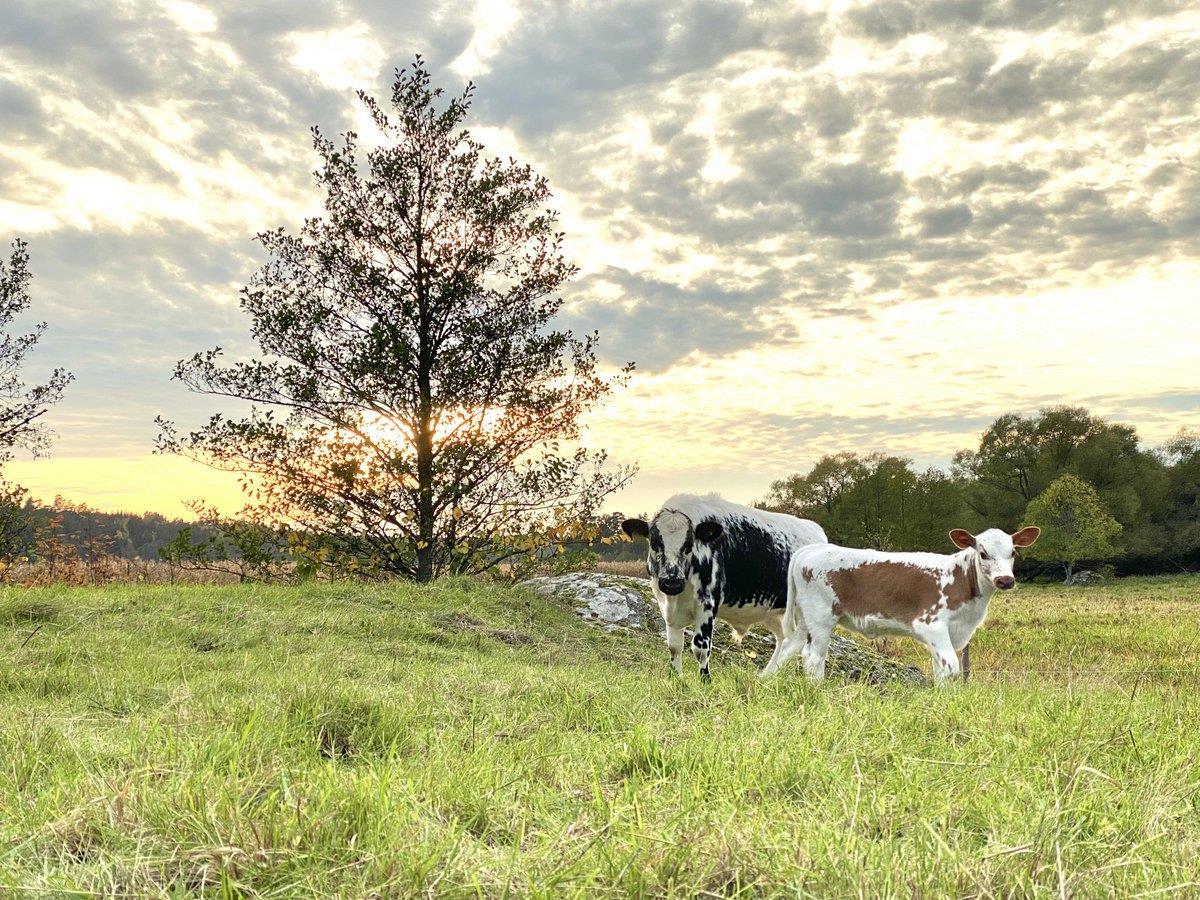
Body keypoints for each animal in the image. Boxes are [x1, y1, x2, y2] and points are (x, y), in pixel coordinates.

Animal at [624, 496, 830, 681]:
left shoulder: (707, 603)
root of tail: (818, 532)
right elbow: (674, 647)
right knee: (784, 638)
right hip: (772, 611)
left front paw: (705, 681)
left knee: (804, 643)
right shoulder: (668, 608)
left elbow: (700, 647)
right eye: (655, 544)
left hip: (808, 607)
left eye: (689, 546)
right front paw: (676, 679)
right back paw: (768, 677)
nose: (671, 582)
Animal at [763, 528, 1036, 681]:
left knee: (788, 649)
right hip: (821, 618)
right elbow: (951, 668)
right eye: (983, 553)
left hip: (805, 619)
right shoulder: (931, 624)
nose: (1005, 580)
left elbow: (940, 671)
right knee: (813, 657)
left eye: (1013, 552)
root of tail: (810, 550)